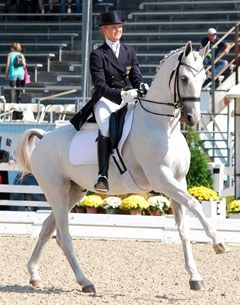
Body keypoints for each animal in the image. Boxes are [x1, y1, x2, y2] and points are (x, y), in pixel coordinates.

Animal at [15, 41, 229, 294]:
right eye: (184, 78)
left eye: (204, 78)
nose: (192, 118)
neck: (163, 125)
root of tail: (44, 137)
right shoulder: (161, 179)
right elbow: (195, 204)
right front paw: (218, 243)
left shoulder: (178, 181)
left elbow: (183, 229)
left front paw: (195, 277)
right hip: (56, 191)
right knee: (63, 237)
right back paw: (86, 282)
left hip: (73, 192)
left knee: (48, 228)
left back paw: (34, 275)